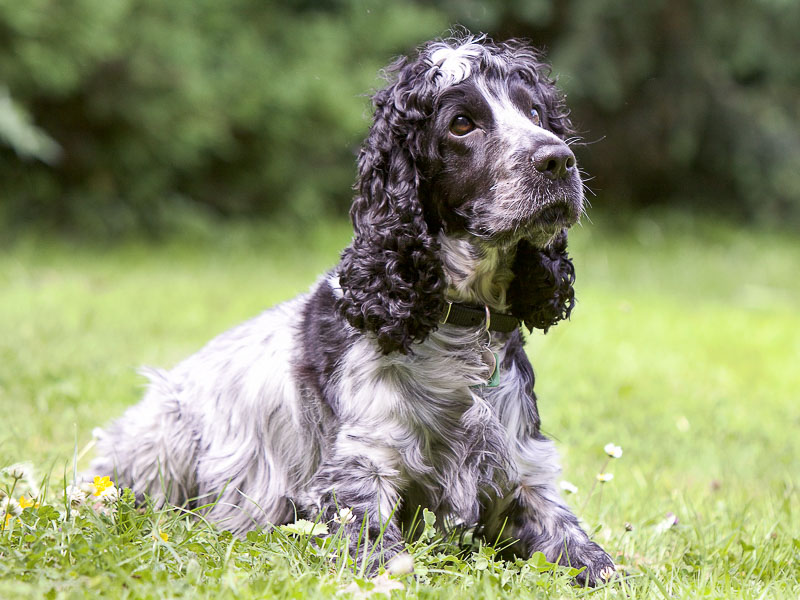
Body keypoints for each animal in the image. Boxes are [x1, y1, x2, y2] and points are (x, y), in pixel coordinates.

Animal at [95, 32, 620, 584]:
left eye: (536, 112)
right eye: (461, 123)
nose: (559, 160)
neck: (460, 326)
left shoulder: (524, 475)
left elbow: (592, 556)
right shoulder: (358, 471)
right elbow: (383, 554)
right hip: (164, 435)